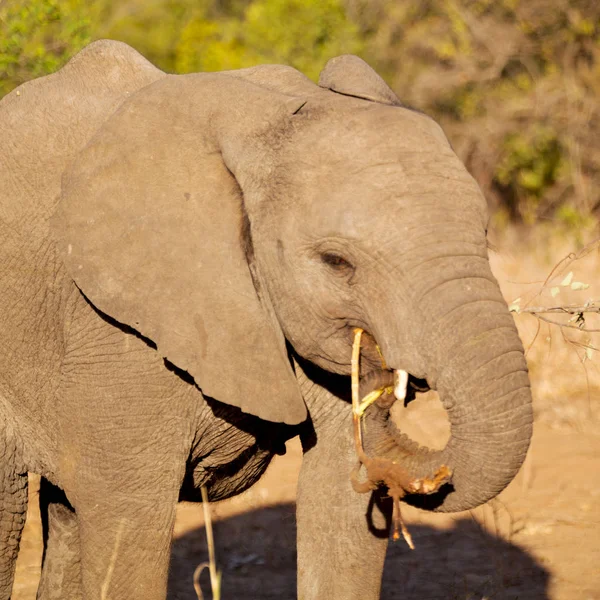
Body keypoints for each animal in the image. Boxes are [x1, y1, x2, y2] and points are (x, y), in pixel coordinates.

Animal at [0, 42, 532, 600]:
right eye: (336, 262)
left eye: (485, 234)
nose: (380, 374)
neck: (263, 121)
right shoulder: (116, 326)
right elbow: (127, 514)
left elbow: (337, 500)